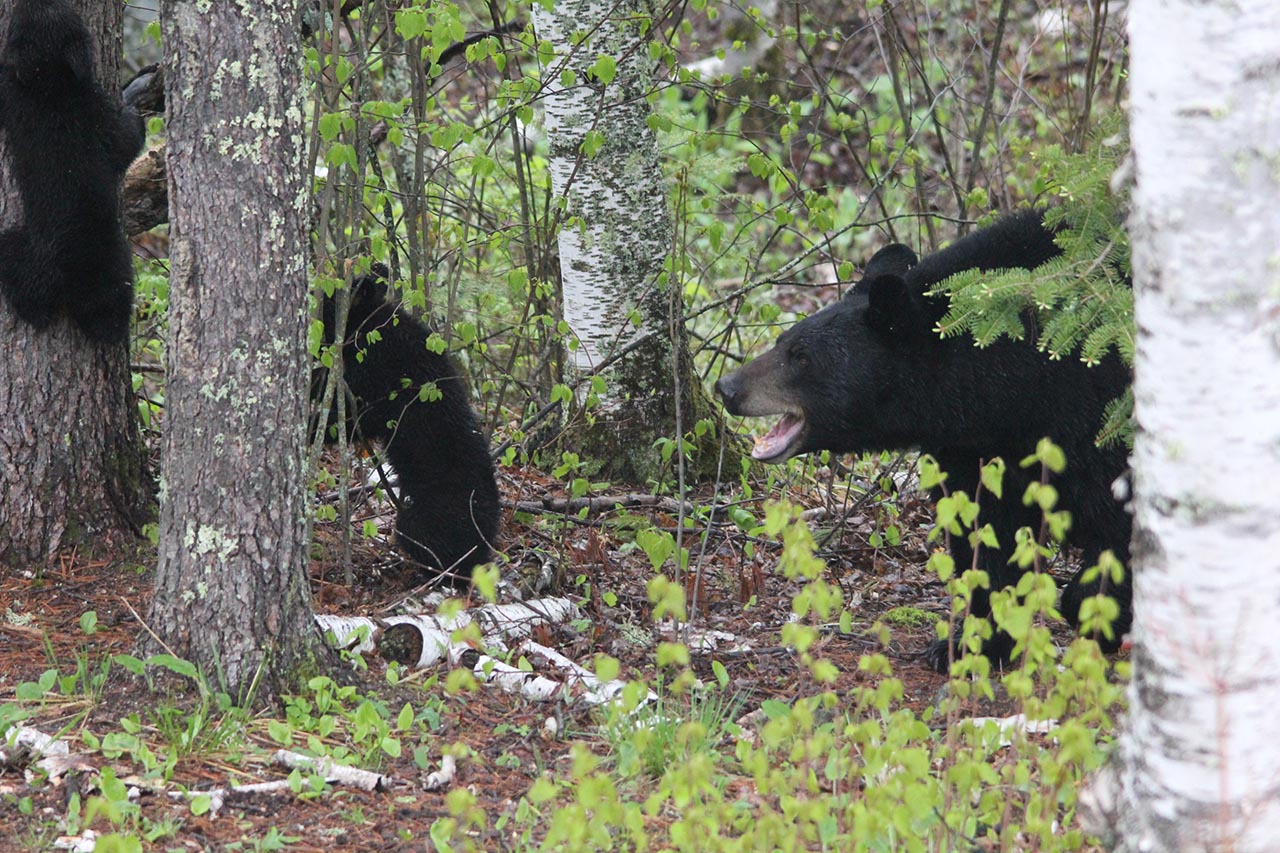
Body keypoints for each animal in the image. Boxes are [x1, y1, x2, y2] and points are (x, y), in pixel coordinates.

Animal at [0, 0, 144, 340]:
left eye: (20, 20)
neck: (52, 83)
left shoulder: (16, 93)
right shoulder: (94, 109)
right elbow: (125, 140)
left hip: (41, 256)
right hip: (115, 263)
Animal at [721, 207, 1131, 671]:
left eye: (802, 357)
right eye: (782, 341)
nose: (727, 388)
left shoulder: (1096, 420)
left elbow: (1117, 526)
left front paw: (1096, 615)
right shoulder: (976, 448)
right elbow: (986, 534)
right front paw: (974, 642)